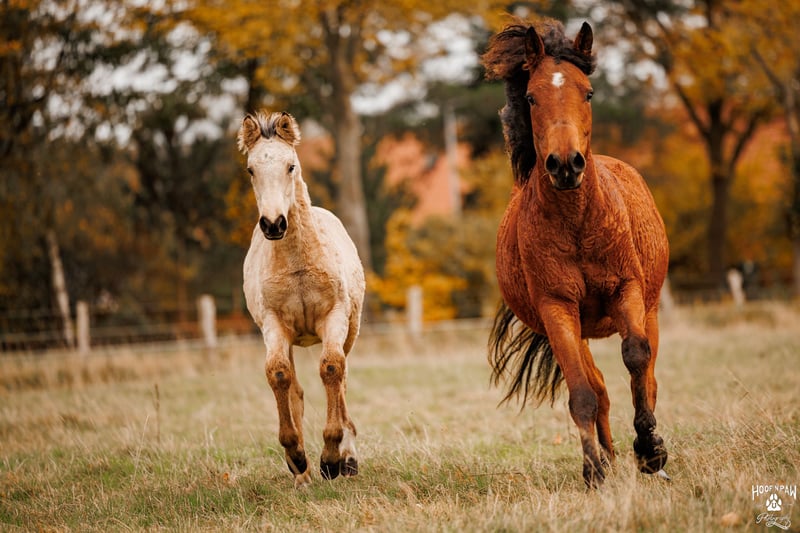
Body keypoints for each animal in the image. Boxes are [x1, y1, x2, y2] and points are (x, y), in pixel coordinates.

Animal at [238, 111, 366, 488]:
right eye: (251, 169)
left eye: (290, 165)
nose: (273, 224)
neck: (297, 264)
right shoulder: (274, 324)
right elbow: (280, 377)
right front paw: (297, 457)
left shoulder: (334, 317)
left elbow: (332, 368)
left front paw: (332, 459)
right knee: (292, 386)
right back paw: (303, 475)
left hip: (349, 329)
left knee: (342, 378)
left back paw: (346, 459)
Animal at [482, 20, 670, 488]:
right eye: (532, 96)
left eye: (588, 92)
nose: (565, 164)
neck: (578, 226)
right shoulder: (558, 309)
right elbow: (583, 393)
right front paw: (594, 470)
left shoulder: (627, 291)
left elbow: (636, 356)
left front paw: (650, 449)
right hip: (578, 328)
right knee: (598, 386)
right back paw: (610, 458)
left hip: (651, 308)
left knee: (649, 373)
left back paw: (650, 457)